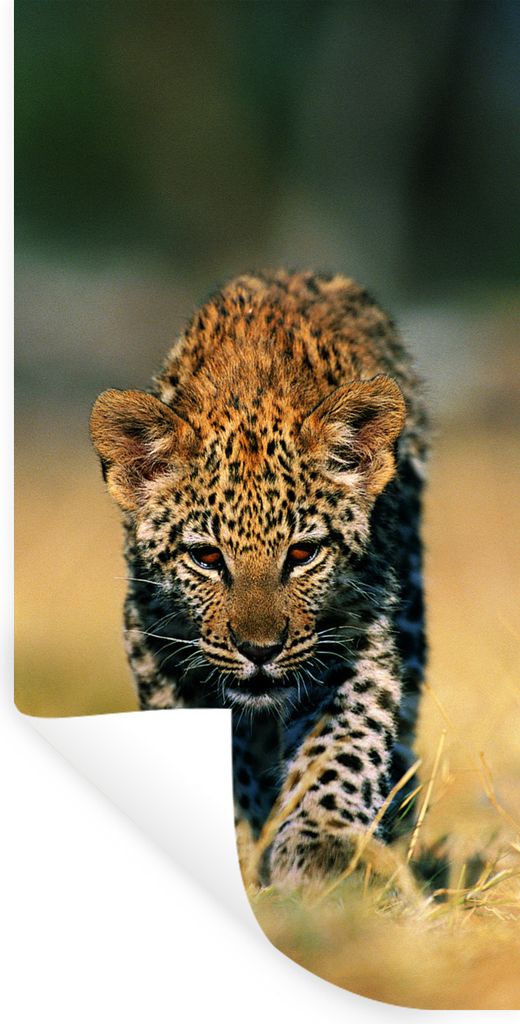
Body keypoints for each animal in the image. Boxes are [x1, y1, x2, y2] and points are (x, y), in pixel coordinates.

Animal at [90, 269, 428, 888]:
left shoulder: (358, 637)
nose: (259, 650)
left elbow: (340, 746)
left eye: (302, 553)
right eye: (206, 558)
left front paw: (323, 851)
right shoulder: (157, 644)